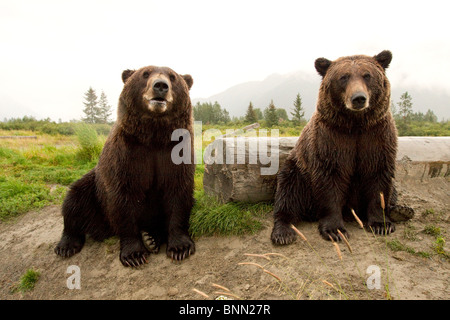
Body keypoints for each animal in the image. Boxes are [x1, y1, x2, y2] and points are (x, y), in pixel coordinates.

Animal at [54, 63, 195, 266]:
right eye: (145, 74)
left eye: (172, 77)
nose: (160, 86)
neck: (154, 135)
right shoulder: (127, 155)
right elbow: (124, 199)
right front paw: (134, 254)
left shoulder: (174, 152)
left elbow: (177, 191)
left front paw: (180, 247)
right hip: (94, 189)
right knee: (75, 200)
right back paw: (66, 244)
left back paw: (151, 238)